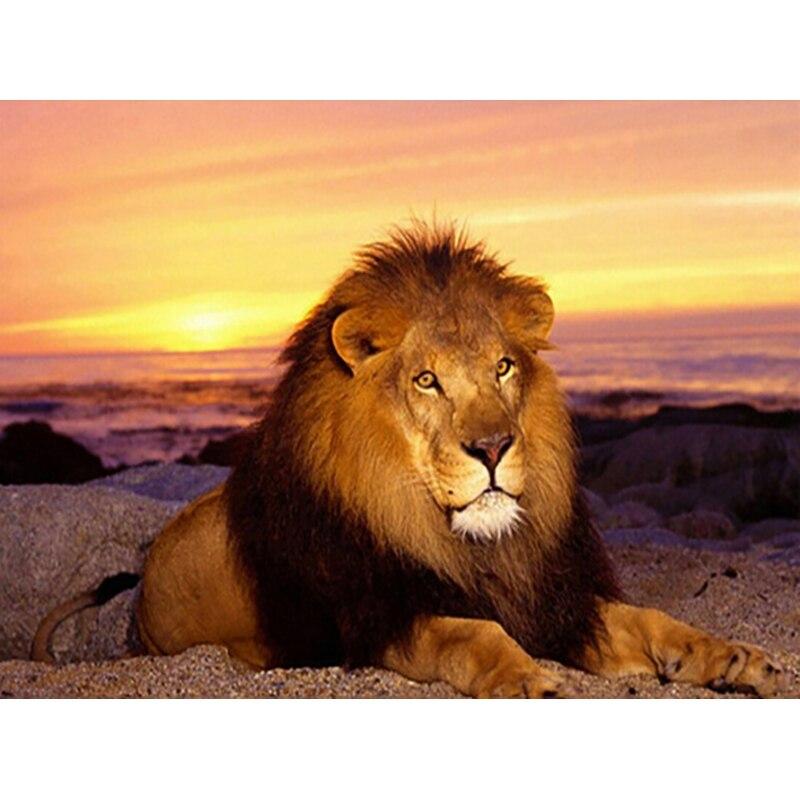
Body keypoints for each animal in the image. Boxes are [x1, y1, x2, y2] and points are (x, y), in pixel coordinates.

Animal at [33, 222, 785, 697]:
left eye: (504, 367)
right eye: (427, 381)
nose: (493, 447)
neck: (468, 544)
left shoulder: (555, 601)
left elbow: (655, 621)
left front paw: (735, 657)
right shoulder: (379, 617)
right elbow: (472, 634)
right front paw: (527, 680)